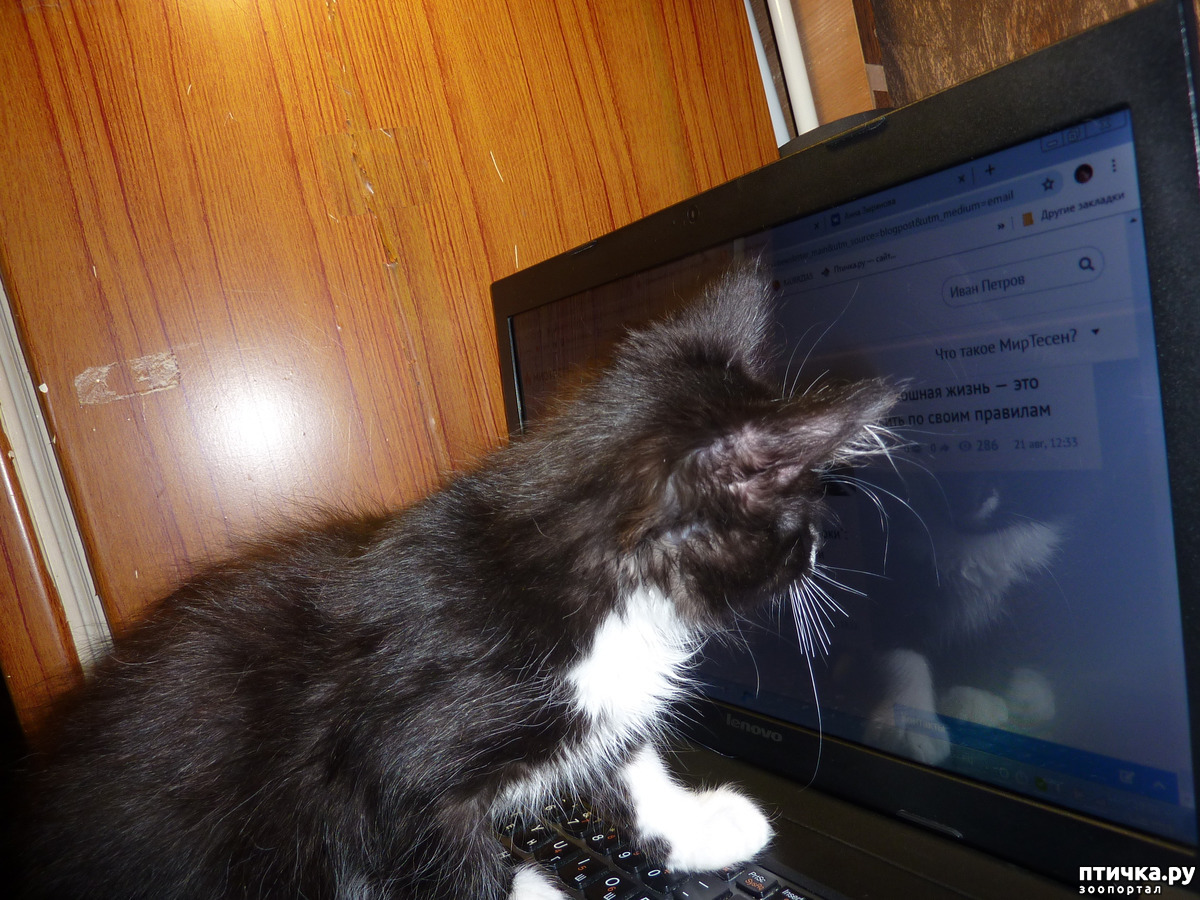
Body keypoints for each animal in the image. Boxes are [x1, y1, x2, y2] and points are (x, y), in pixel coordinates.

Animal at [18, 266, 897, 900]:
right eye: (799, 521)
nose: (821, 549)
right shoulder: (391, 777)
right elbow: (453, 869)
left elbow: (624, 755)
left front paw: (693, 825)